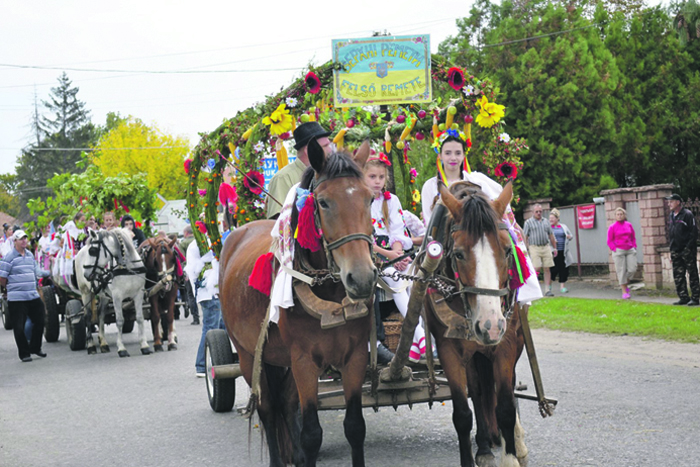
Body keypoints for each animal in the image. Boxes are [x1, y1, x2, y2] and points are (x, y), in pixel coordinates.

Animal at [221, 141, 380, 466]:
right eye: (324, 203)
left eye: (370, 198)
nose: (361, 278)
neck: (330, 294)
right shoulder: (304, 360)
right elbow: (311, 433)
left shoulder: (355, 356)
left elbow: (355, 426)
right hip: (249, 354)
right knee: (268, 409)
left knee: (285, 401)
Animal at [422, 183, 532, 467]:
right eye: (459, 254)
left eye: (507, 250)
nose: (490, 326)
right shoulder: (449, 349)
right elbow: (463, 413)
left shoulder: (506, 343)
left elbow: (505, 406)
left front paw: (511, 456)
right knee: (477, 391)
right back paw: (483, 446)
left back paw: (515, 440)